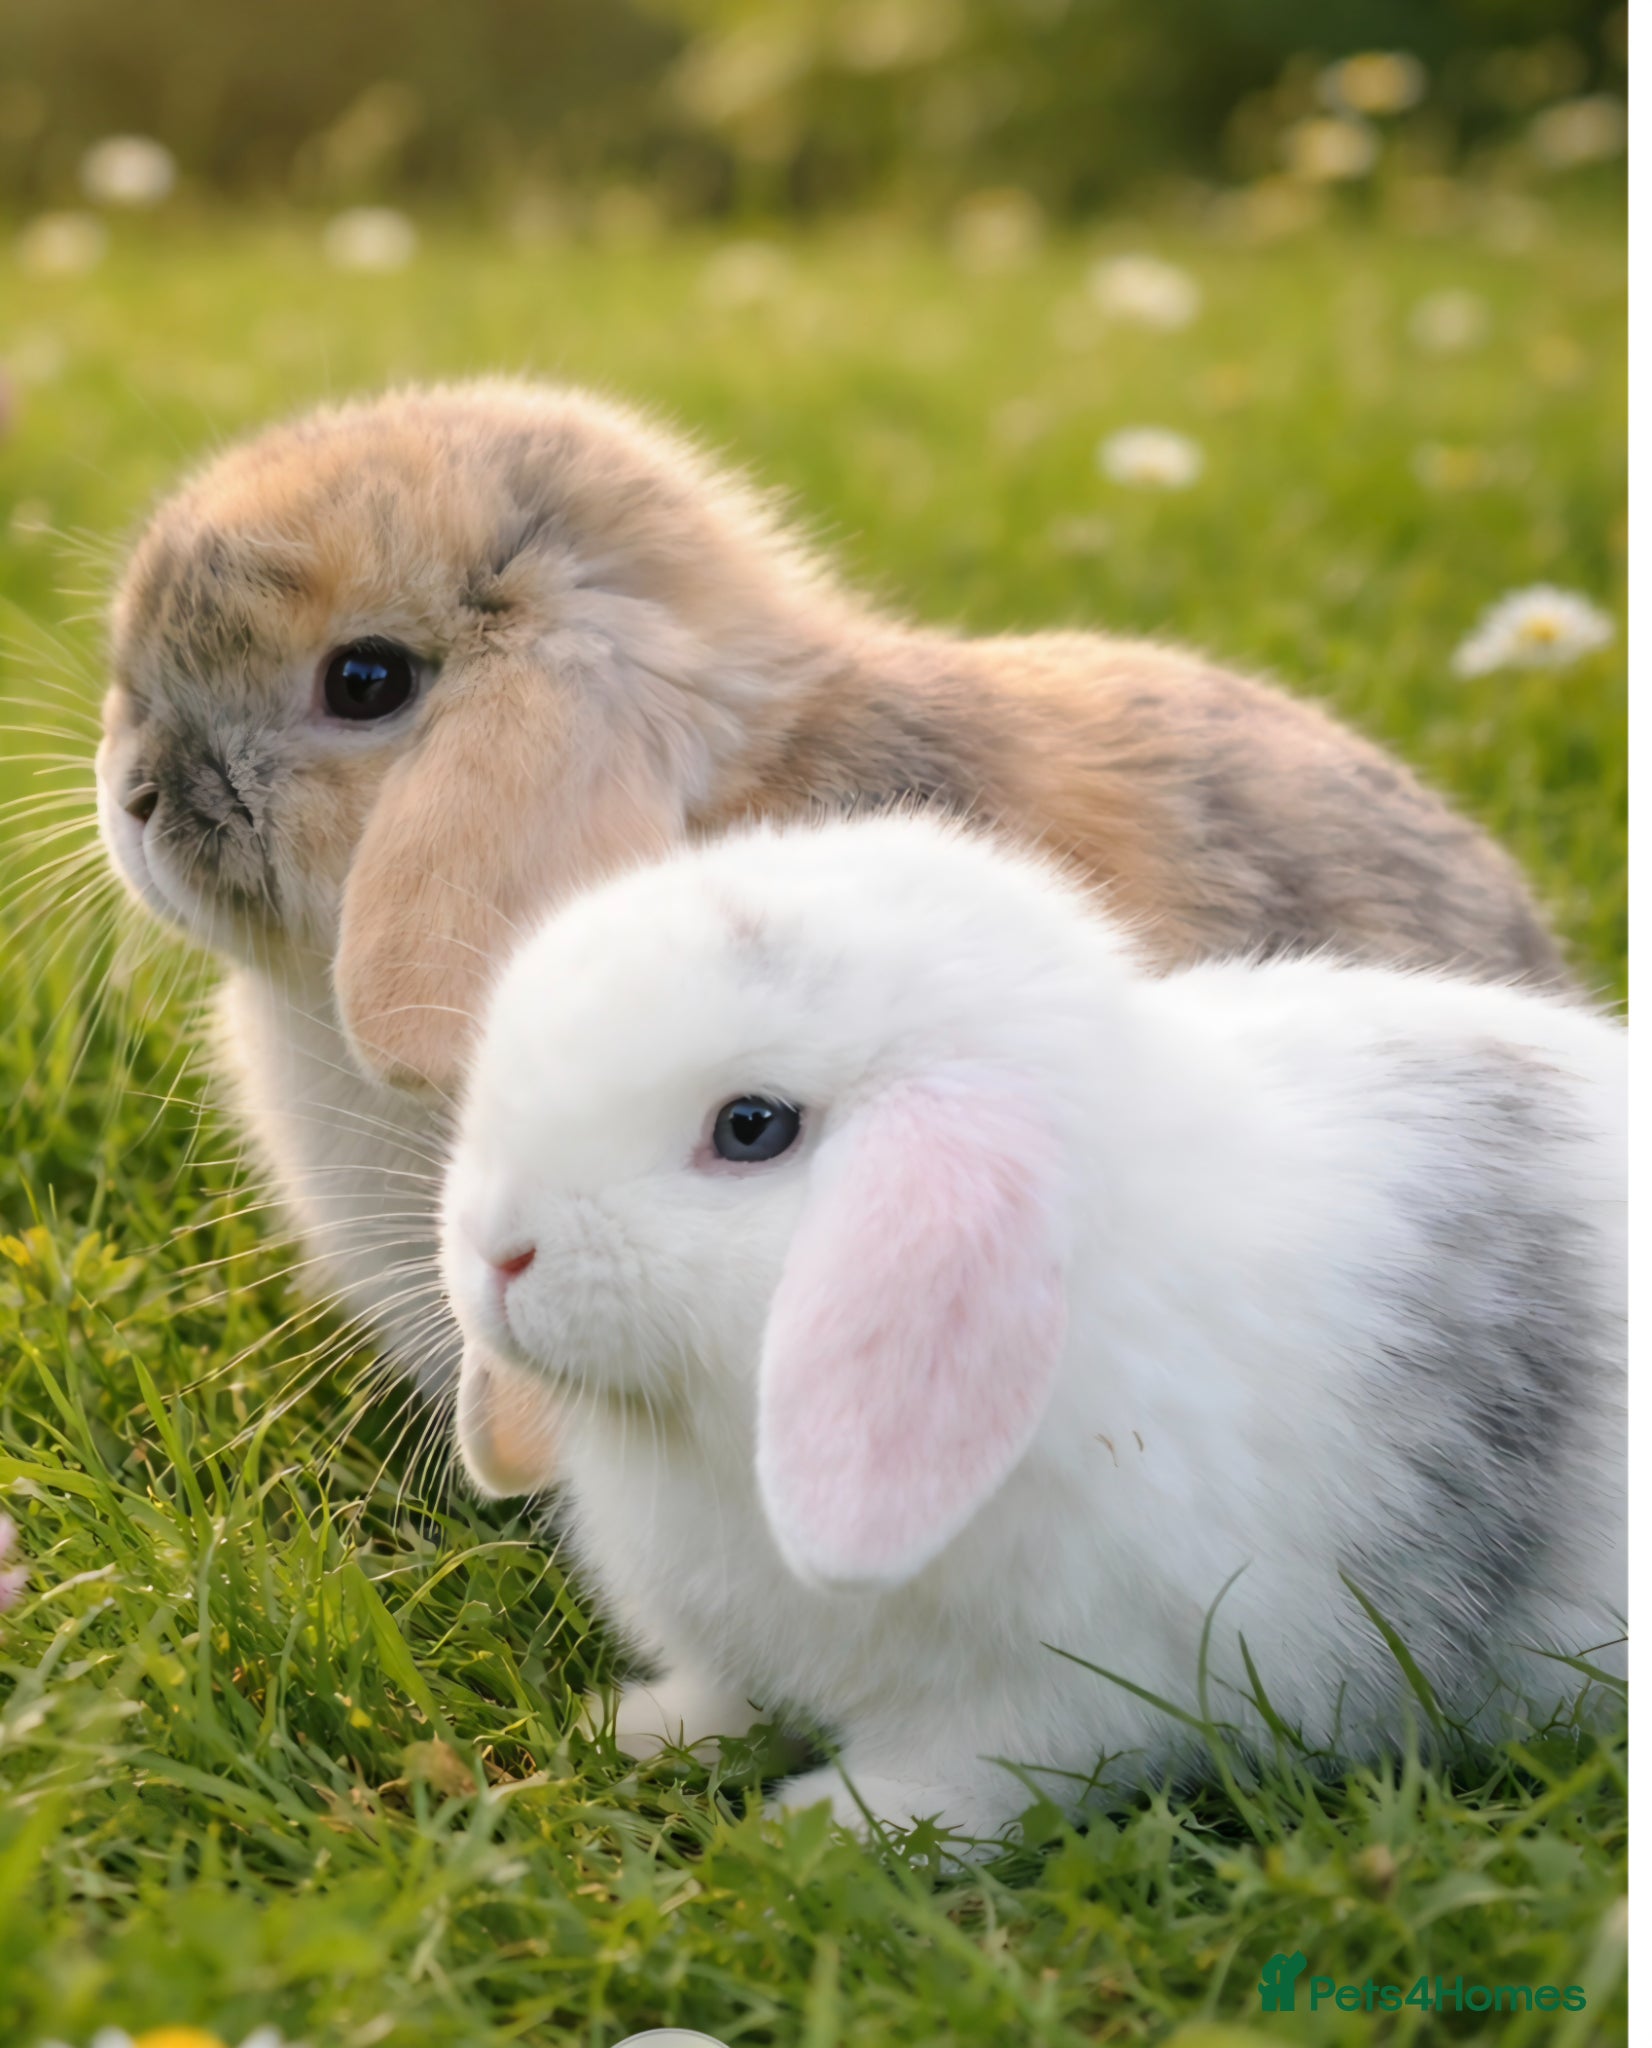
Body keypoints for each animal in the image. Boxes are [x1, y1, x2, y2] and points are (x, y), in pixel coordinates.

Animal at [438, 809, 1624, 1844]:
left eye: (751, 1127)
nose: (499, 1251)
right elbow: (730, 1696)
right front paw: (640, 1729)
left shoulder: (1057, 1686)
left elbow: (968, 1777)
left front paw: (827, 1830)